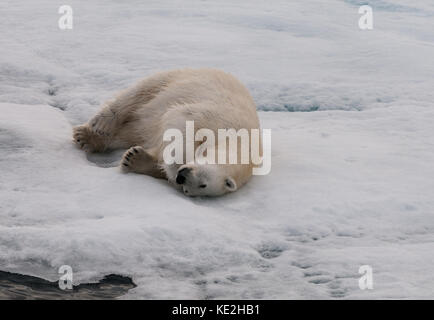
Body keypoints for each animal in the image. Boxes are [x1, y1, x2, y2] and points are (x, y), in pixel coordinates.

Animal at [73, 69, 260, 196]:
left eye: (199, 187)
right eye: (204, 183)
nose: (181, 177)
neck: (242, 142)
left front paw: (134, 159)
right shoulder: (217, 118)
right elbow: (181, 124)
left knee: (130, 132)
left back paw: (88, 139)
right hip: (176, 80)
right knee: (137, 95)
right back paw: (95, 127)